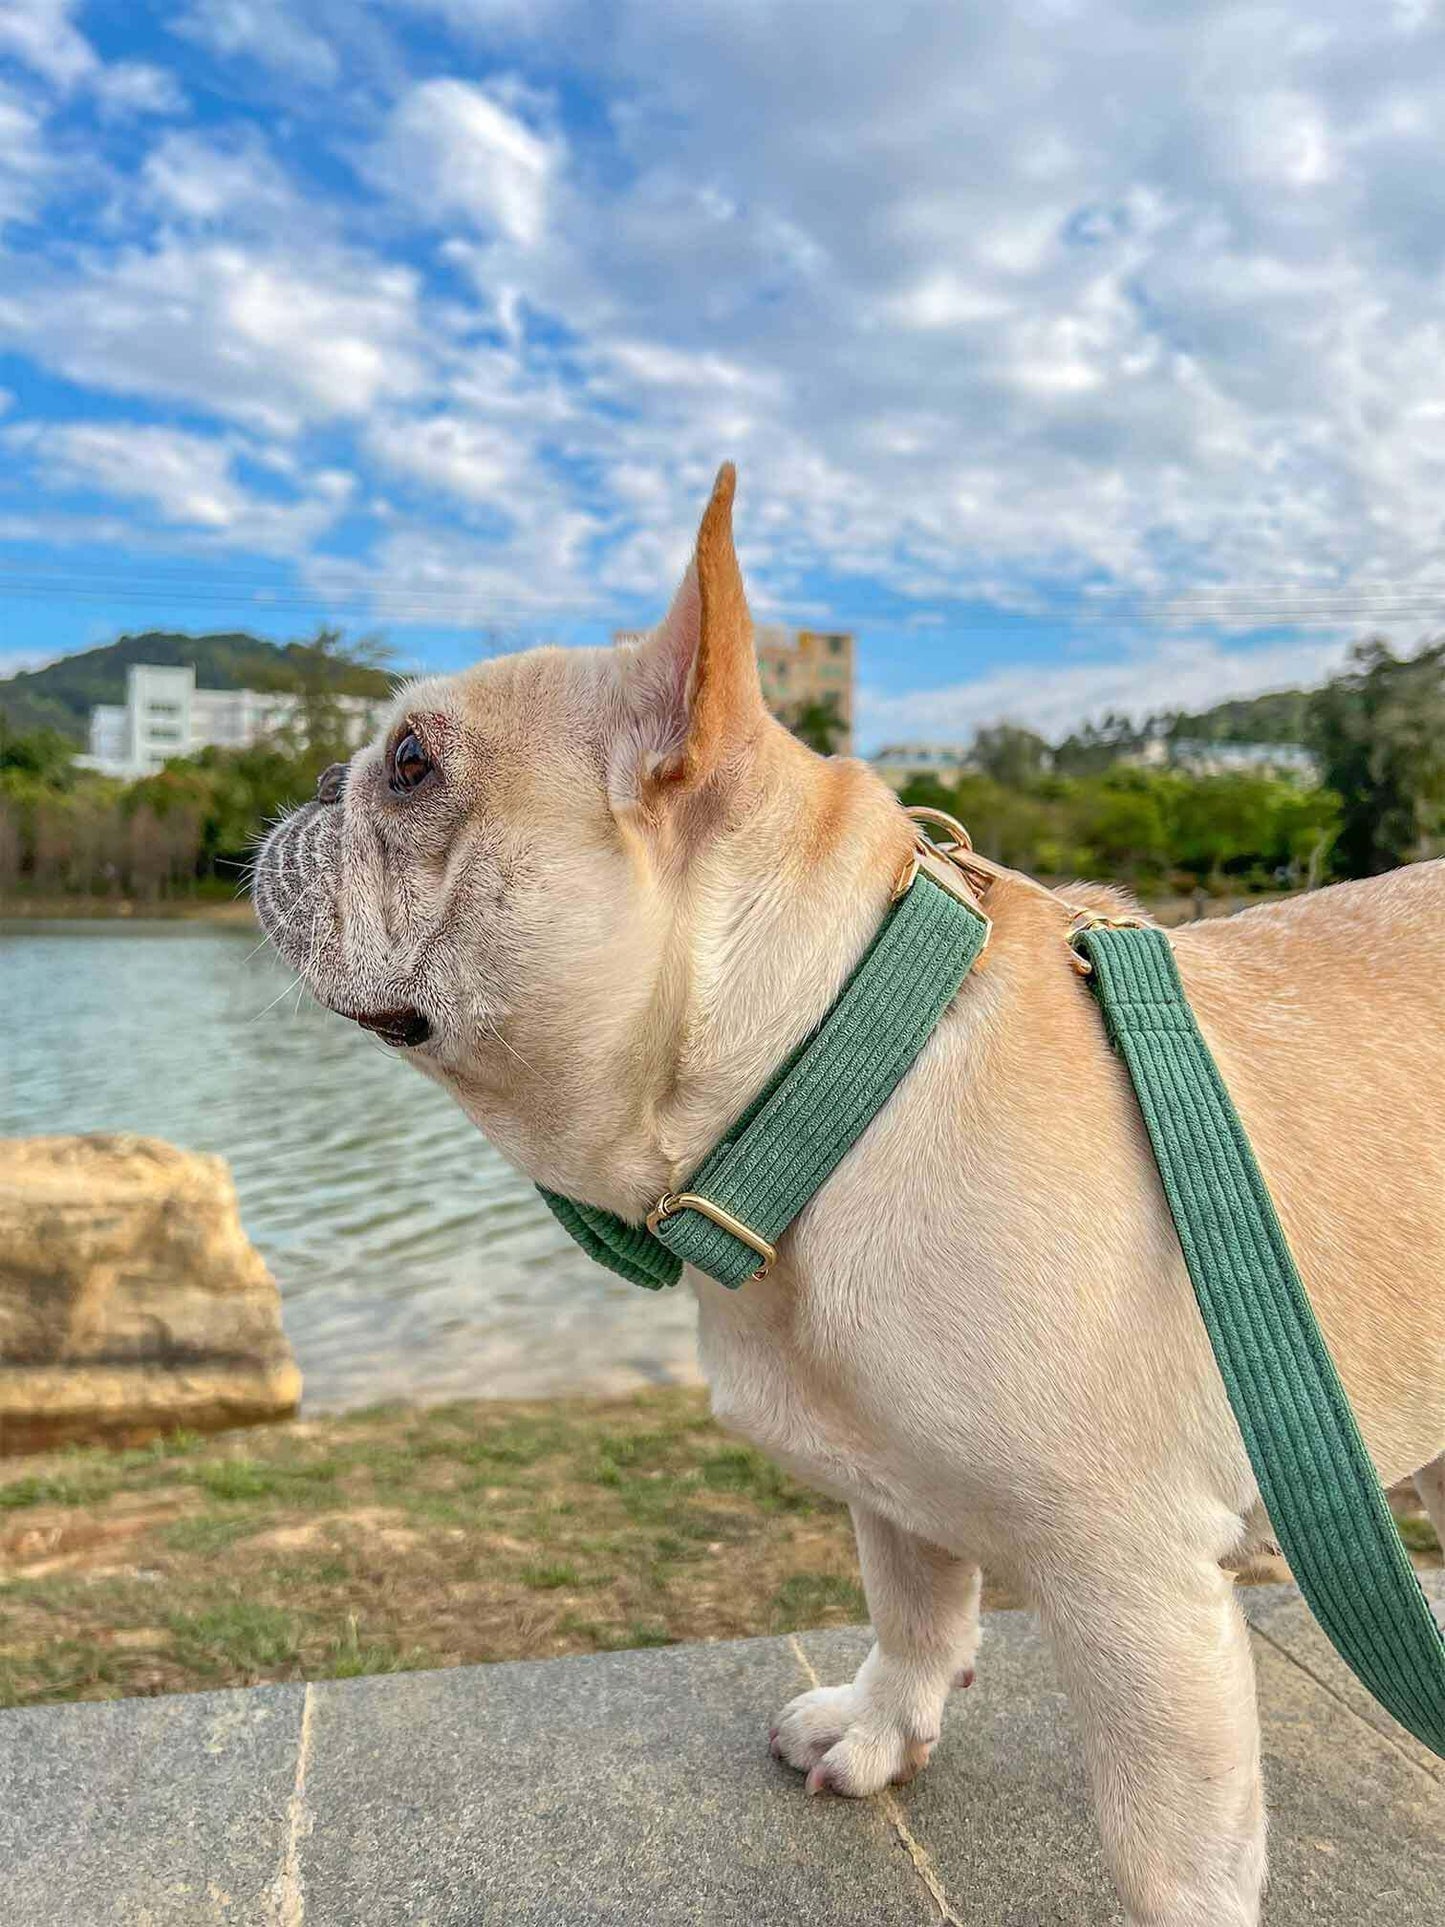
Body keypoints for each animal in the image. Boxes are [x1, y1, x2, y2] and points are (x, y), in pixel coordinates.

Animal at [258, 470, 1445, 1927]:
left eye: (413, 763)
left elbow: (1170, 1853)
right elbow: (913, 1606)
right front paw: (882, 1731)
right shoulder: (888, 1476)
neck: (836, 1065)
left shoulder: (1138, 1583)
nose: (315, 784)